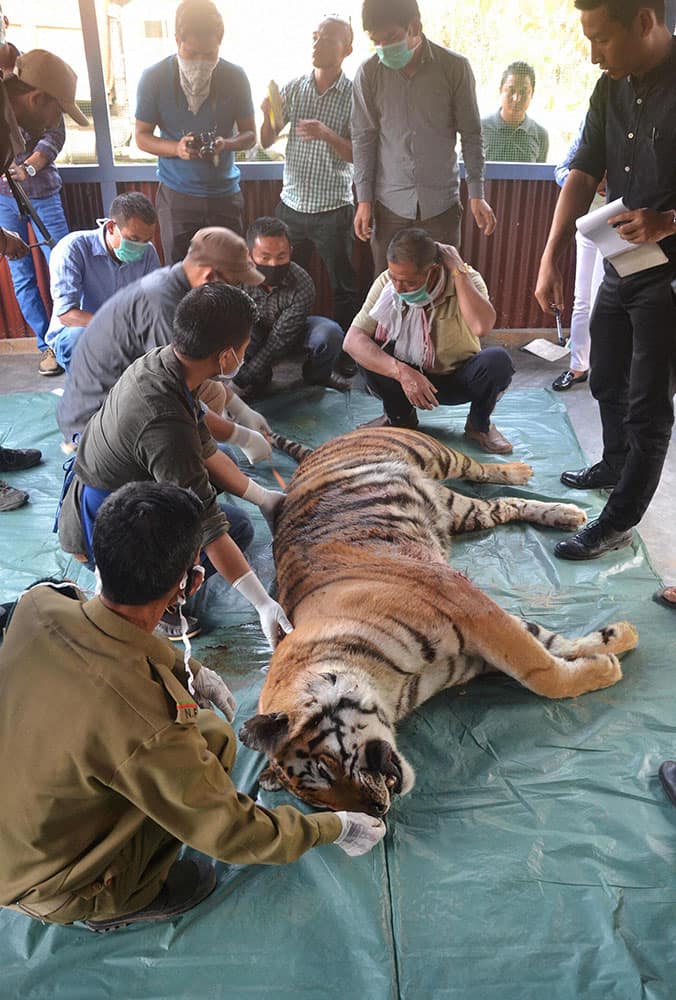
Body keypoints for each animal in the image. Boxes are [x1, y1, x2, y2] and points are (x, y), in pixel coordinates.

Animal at [239, 426, 640, 816]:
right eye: (322, 803)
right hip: (461, 510)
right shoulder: (476, 653)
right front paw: (614, 642)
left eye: (323, 768)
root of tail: (321, 449)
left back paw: (523, 474)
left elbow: (541, 672)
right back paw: (565, 514)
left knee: (478, 470)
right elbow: (547, 644)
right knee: (502, 504)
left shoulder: (470, 607)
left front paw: (613, 655)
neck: (388, 686)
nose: (377, 811)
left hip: (432, 453)